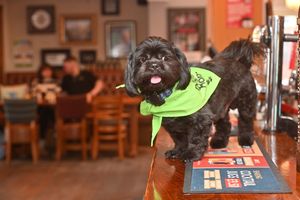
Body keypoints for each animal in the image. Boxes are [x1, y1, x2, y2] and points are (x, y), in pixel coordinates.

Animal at [125, 35, 264, 161]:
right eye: (142, 59)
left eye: (165, 57)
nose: (154, 65)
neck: (167, 94)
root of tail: (241, 62)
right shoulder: (172, 126)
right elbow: (180, 140)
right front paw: (177, 151)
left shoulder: (200, 121)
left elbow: (196, 139)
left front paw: (191, 154)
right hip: (220, 107)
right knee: (225, 124)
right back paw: (219, 141)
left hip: (246, 103)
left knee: (246, 121)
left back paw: (246, 139)